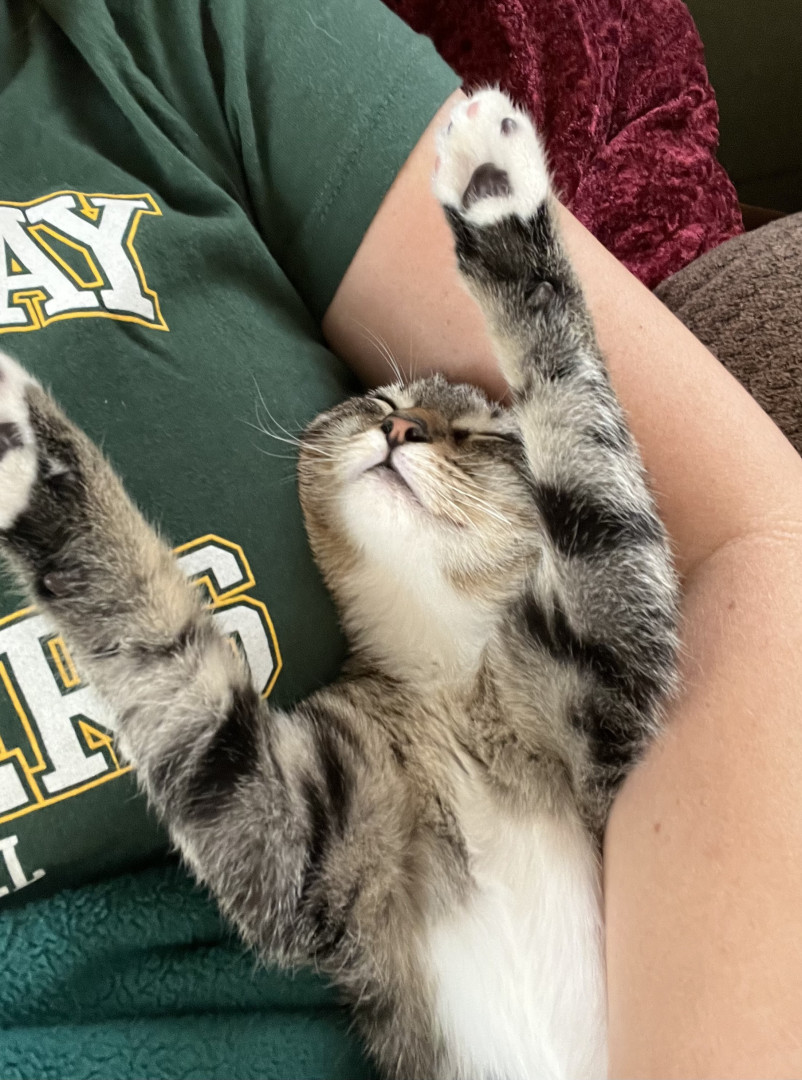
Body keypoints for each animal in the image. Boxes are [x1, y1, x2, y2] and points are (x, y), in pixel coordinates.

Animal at [0, 90, 679, 1079]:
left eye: (490, 438)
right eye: (382, 403)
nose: (400, 432)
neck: (441, 682)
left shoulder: (615, 658)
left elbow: (583, 422)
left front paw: (500, 206)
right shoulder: (289, 838)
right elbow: (166, 656)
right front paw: (35, 464)